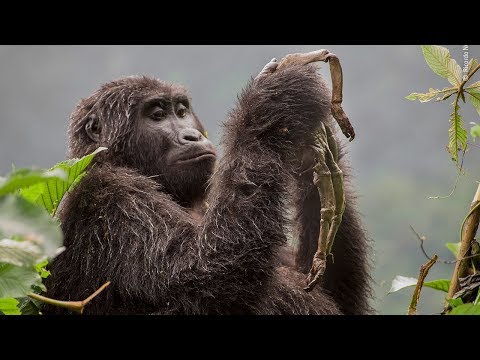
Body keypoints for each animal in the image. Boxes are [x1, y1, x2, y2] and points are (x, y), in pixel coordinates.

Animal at [44, 54, 372, 316]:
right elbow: (203, 278)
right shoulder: (112, 196)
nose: (191, 135)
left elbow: (331, 292)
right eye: (157, 115)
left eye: (181, 111)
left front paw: (310, 148)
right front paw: (276, 103)